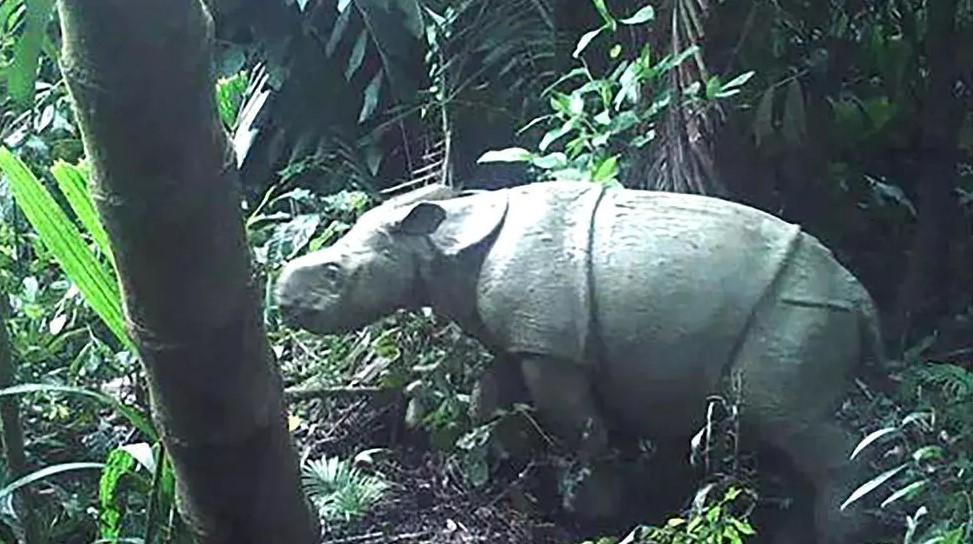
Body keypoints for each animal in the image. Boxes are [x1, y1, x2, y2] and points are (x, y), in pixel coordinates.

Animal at [274, 181, 880, 540]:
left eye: (335, 273)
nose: (280, 299)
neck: (439, 242)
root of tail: (859, 295)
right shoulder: (521, 337)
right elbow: (490, 398)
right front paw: (498, 467)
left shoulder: (553, 347)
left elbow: (579, 424)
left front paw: (590, 509)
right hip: (802, 308)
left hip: (795, 307)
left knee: (787, 419)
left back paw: (841, 531)